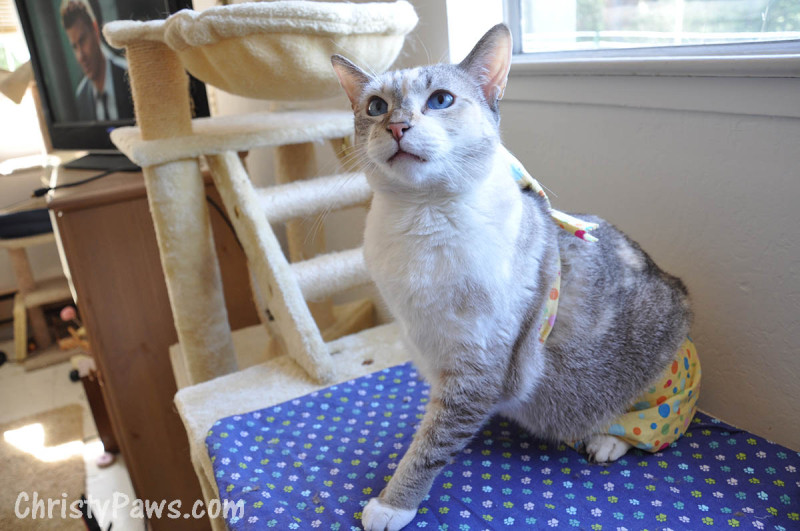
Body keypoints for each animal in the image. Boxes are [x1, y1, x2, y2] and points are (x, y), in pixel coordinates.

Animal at [332, 21, 692, 531]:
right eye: (376, 107)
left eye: (440, 100)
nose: (397, 126)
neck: (421, 217)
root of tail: (674, 287)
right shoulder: (439, 362)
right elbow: (434, 429)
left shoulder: (477, 367)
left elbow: (428, 447)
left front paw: (390, 504)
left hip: (656, 365)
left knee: (651, 422)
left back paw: (606, 440)